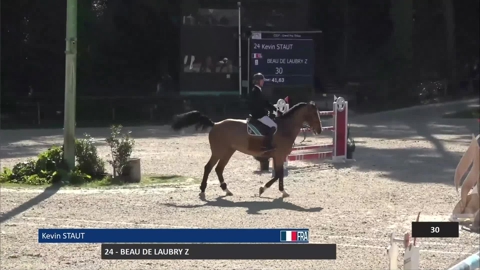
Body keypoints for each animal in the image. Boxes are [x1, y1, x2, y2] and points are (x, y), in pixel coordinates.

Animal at [171, 101, 324, 198]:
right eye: (314, 114)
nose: (319, 130)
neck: (285, 128)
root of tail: (215, 124)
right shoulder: (279, 156)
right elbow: (278, 174)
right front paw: (263, 190)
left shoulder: (278, 157)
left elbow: (279, 174)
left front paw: (281, 191)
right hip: (218, 152)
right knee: (208, 167)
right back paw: (203, 191)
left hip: (228, 152)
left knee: (219, 169)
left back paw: (227, 190)